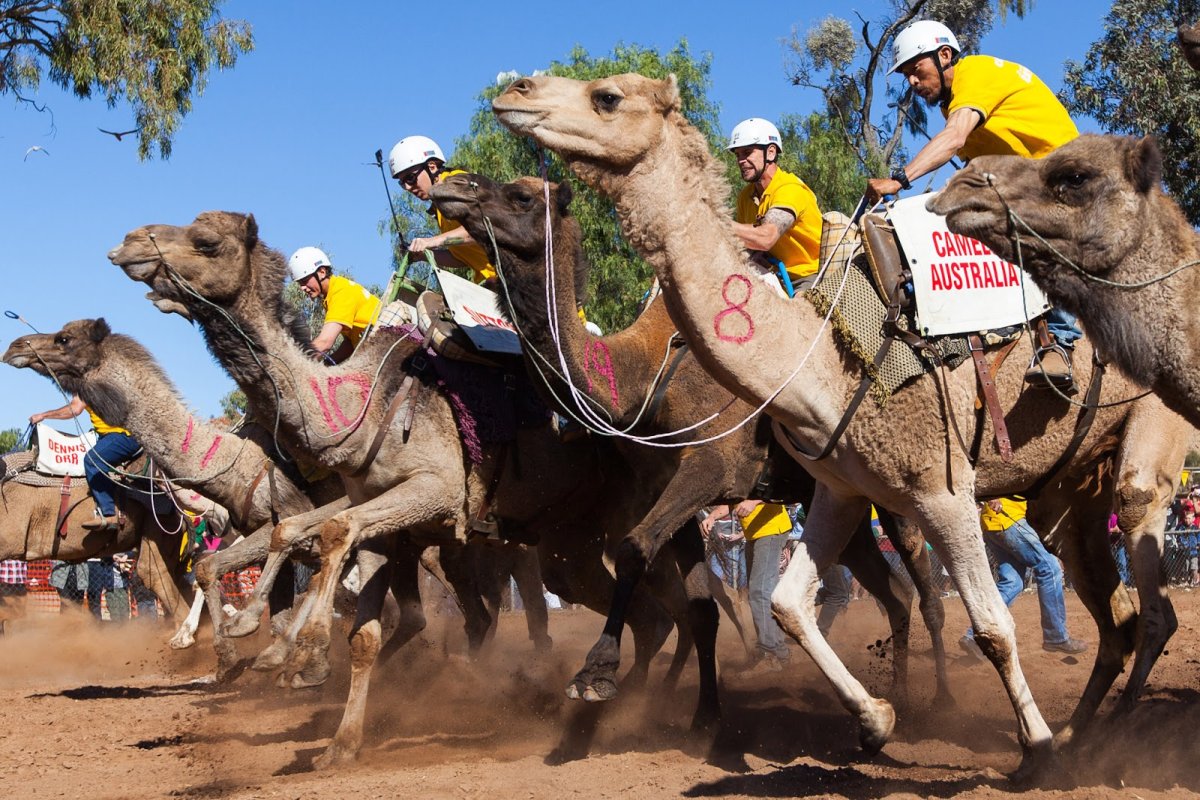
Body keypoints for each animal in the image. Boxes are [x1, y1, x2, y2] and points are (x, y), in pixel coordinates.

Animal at [106, 211, 708, 767]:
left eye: (206, 241)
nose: (128, 242)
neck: (361, 409)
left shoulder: (435, 491)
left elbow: (330, 532)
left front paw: (298, 652)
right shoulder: (385, 524)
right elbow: (362, 626)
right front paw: (339, 744)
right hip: (569, 537)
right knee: (639, 611)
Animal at [429, 172, 953, 708]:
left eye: (521, 196)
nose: (453, 188)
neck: (642, 377)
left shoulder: (713, 468)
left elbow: (634, 549)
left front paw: (596, 673)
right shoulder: (666, 490)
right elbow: (698, 603)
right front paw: (704, 711)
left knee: (924, 585)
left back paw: (940, 697)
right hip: (831, 496)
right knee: (894, 591)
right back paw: (899, 693)